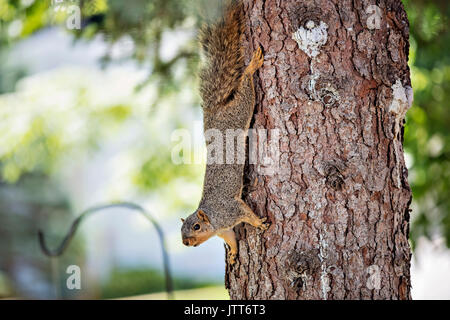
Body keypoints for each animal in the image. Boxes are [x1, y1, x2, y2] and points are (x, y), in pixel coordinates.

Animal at [181, 0, 268, 264]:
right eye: (181, 231)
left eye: (196, 227)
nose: (186, 243)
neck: (214, 220)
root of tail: (215, 112)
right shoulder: (224, 229)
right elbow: (232, 239)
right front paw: (234, 254)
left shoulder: (231, 210)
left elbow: (246, 214)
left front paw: (258, 223)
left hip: (239, 113)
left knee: (245, 93)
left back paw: (251, 67)